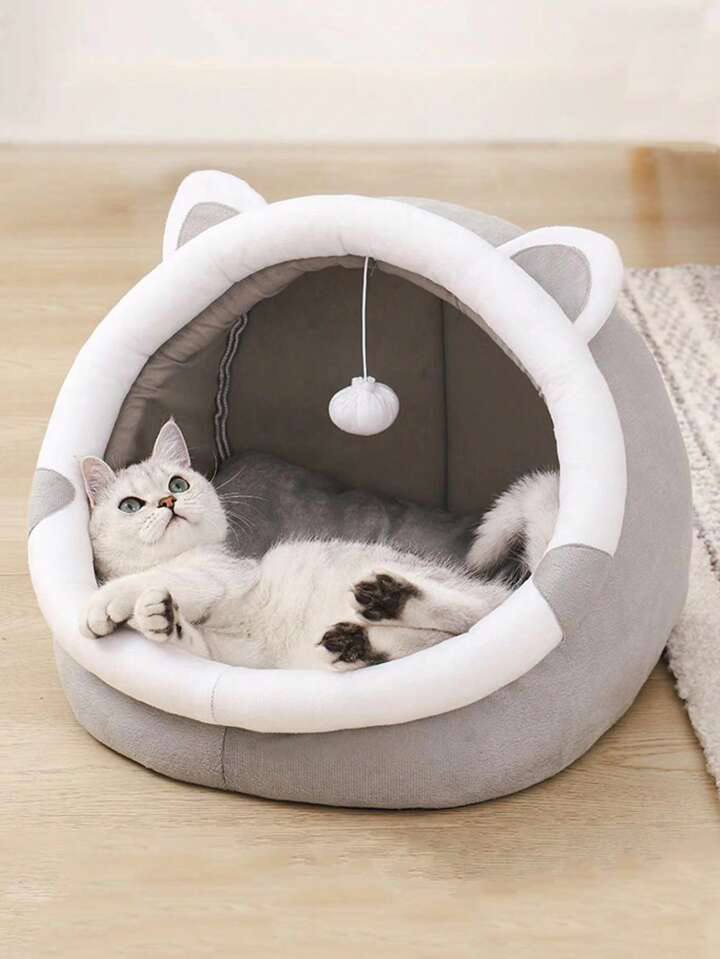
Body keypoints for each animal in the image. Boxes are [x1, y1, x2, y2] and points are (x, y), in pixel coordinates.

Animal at [79, 419, 559, 670]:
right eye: (130, 505)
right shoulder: (235, 656)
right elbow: (192, 638)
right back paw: (358, 640)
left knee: (473, 614)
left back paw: (390, 598)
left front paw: (106, 604)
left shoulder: (222, 572)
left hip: (424, 581)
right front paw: (159, 616)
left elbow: (166, 576)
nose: (168, 501)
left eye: (178, 483)